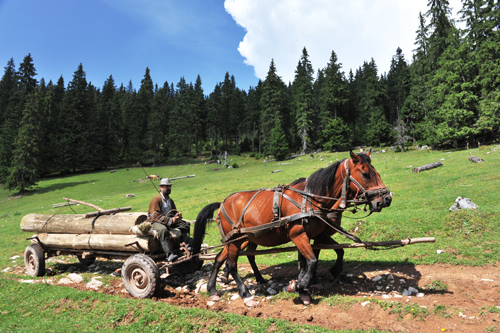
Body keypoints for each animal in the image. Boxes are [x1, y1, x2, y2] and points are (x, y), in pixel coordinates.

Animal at [191, 150, 390, 306]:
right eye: (365, 174)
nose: (385, 199)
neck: (311, 200)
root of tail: (222, 203)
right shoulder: (298, 234)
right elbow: (312, 261)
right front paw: (301, 285)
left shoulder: (313, 235)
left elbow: (315, 259)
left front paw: (307, 286)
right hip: (235, 240)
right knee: (231, 264)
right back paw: (245, 293)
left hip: (240, 239)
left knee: (220, 259)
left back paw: (213, 289)